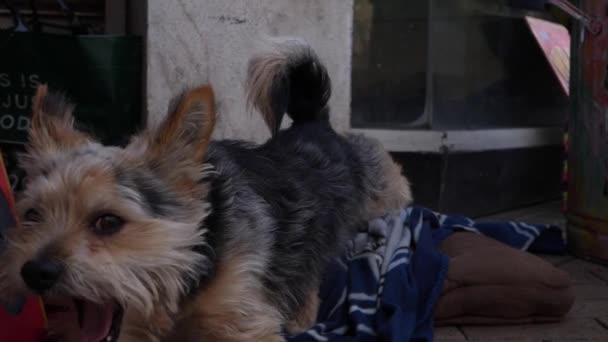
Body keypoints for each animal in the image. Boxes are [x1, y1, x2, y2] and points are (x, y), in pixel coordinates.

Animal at [0, 38, 410, 340]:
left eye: (108, 221)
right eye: (32, 215)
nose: (34, 272)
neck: (193, 262)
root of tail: (315, 124)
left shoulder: (244, 322)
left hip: (381, 188)